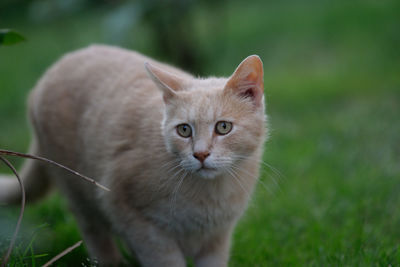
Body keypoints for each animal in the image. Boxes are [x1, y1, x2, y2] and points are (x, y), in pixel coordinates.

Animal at [0, 45, 268, 266]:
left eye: (223, 127)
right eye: (184, 130)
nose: (200, 154)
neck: (211, 194)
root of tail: (45, 77)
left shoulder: (217, 240)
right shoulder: (133, 216)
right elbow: (165, 260)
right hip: (77, 187)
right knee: (94, 232)